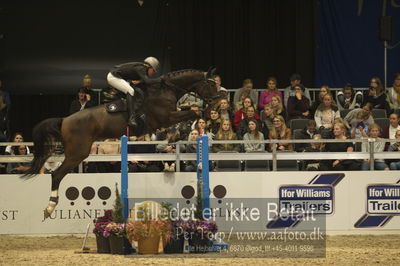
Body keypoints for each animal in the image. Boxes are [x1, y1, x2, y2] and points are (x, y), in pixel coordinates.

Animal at [23, 68, 220, 218]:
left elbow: (191, 113)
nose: (217, 102)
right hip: (78, 153)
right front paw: (184, 130)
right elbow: (192, 112)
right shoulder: (166, 118)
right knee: (56, 175)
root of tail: (64, 120)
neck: (166, 91)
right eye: (211, 84)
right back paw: (50, 207)